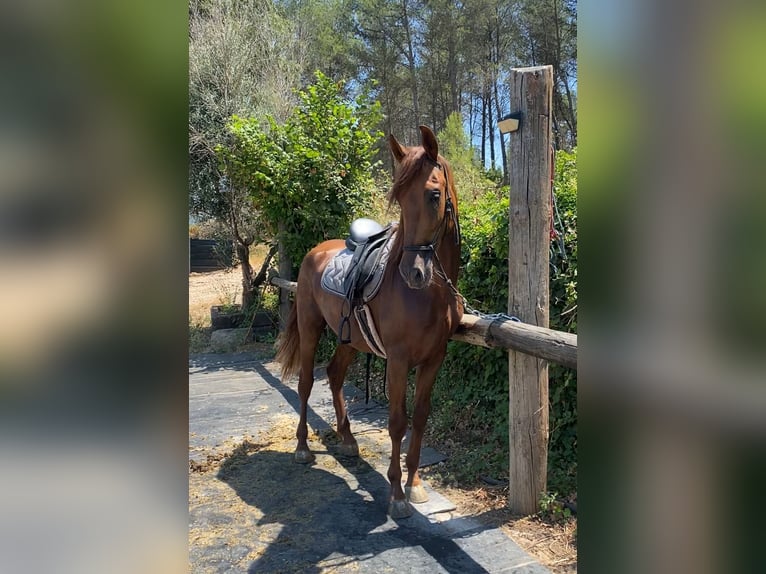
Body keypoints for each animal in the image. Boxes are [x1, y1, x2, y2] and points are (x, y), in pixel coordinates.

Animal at [275, 125, 463, 519]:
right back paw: (302, 448)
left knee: (334, 375)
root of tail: (315, 251)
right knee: (305, 384)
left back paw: (347, 440)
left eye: (434, 195)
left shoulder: (434, 359)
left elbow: (420, 417)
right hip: (312, 329)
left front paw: (415, 484)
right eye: (400, 198)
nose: (414, 273)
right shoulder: (399, 360)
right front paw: (396, 494)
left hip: (350, 339)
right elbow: (397, 421)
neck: (430, 295)